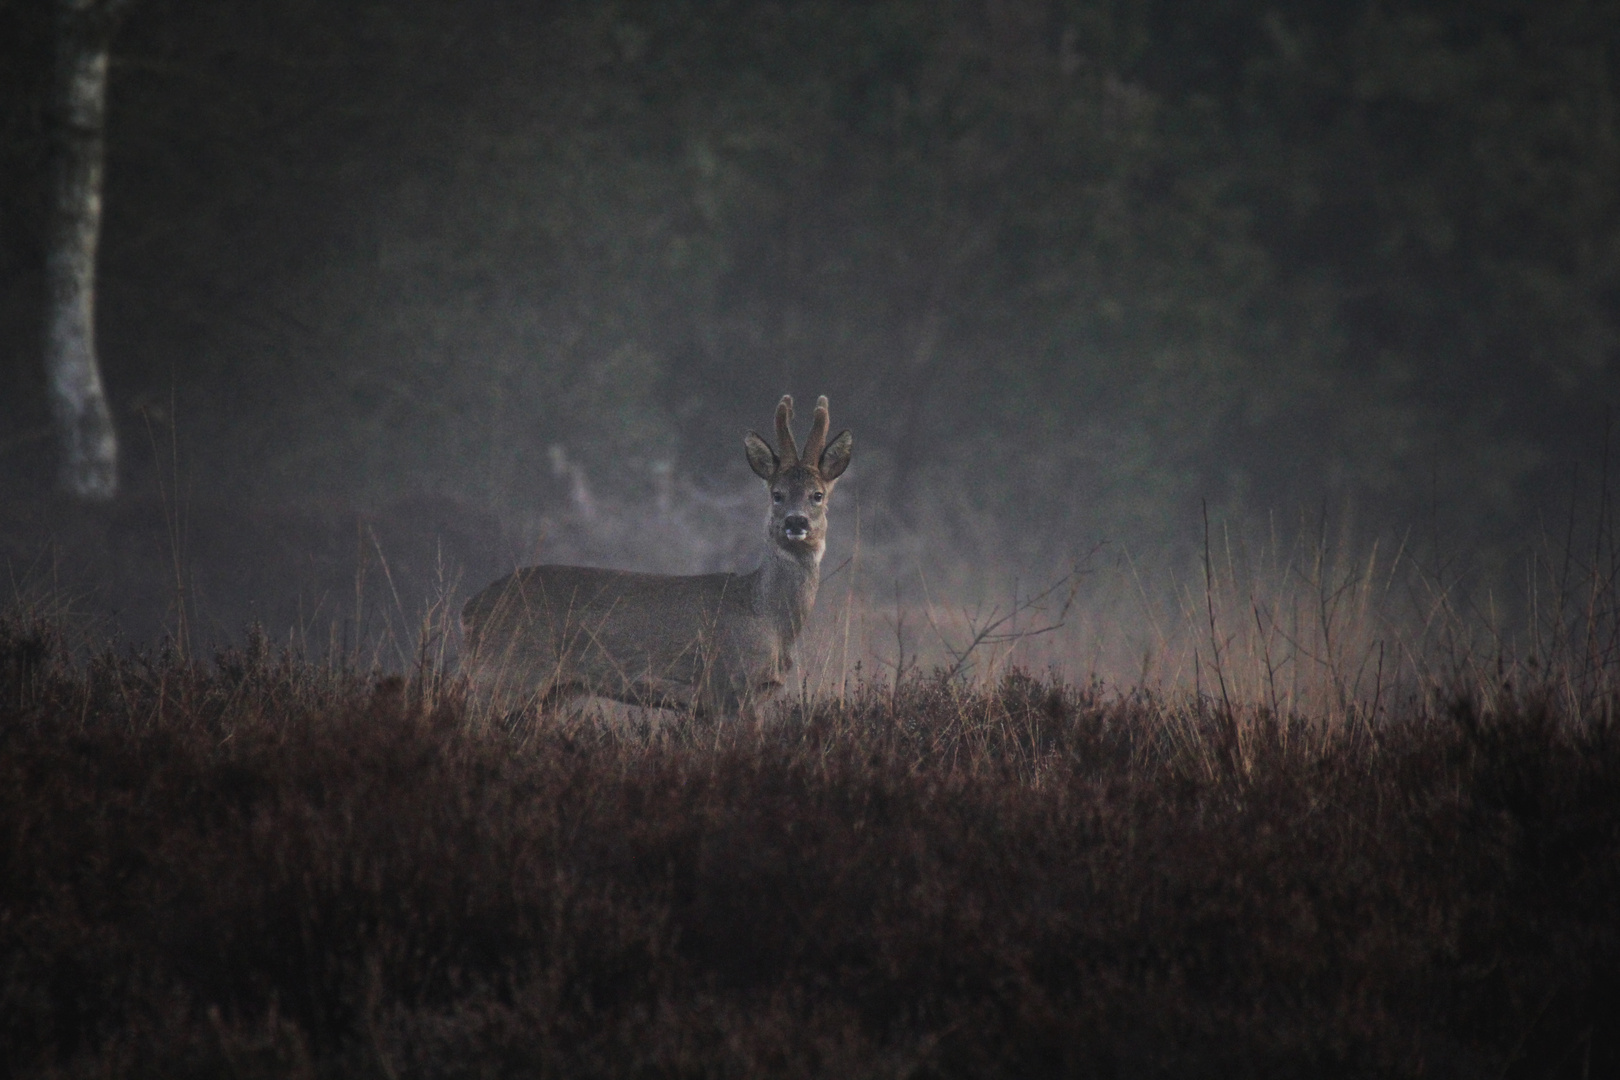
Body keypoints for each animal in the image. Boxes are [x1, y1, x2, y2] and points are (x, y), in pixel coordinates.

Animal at [463, 395, 855, 718]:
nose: (795, 522)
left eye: (817, 495)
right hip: (506, 672)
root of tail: (471, 609)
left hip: (549, 692)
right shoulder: (728, 685)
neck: (768, 618)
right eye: (777, 494)